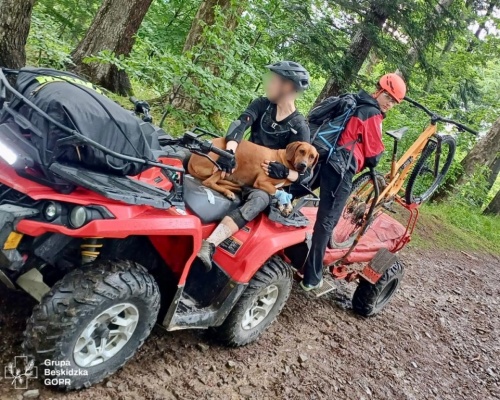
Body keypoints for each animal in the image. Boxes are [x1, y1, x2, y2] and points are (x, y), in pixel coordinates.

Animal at [188, 138, 320, 211]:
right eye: (301, 151)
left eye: (312, 157)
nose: (303, 165)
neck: (285, 165)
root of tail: (192, 159)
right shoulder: (261, 182)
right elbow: (276, 191)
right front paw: (283, 202)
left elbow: (283, 192)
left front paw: (287, 205)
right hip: (230, 162)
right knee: (209, 182)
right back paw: (228, 192)